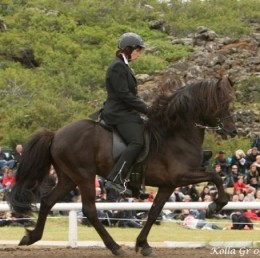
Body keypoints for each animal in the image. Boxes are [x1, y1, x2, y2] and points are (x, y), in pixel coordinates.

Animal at [9, 76, 238, 256]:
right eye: (223, 102)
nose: (233, 131)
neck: (176, 134)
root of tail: (56, 134)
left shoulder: (167, 185)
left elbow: (154, 212)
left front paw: (143, 245)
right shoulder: (181, 176)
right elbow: (215, 177)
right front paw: (216, 204)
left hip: (68, 178)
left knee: (47, 201)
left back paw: (31, 237)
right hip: (84, 176)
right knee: (89, 210)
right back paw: (115, 247)